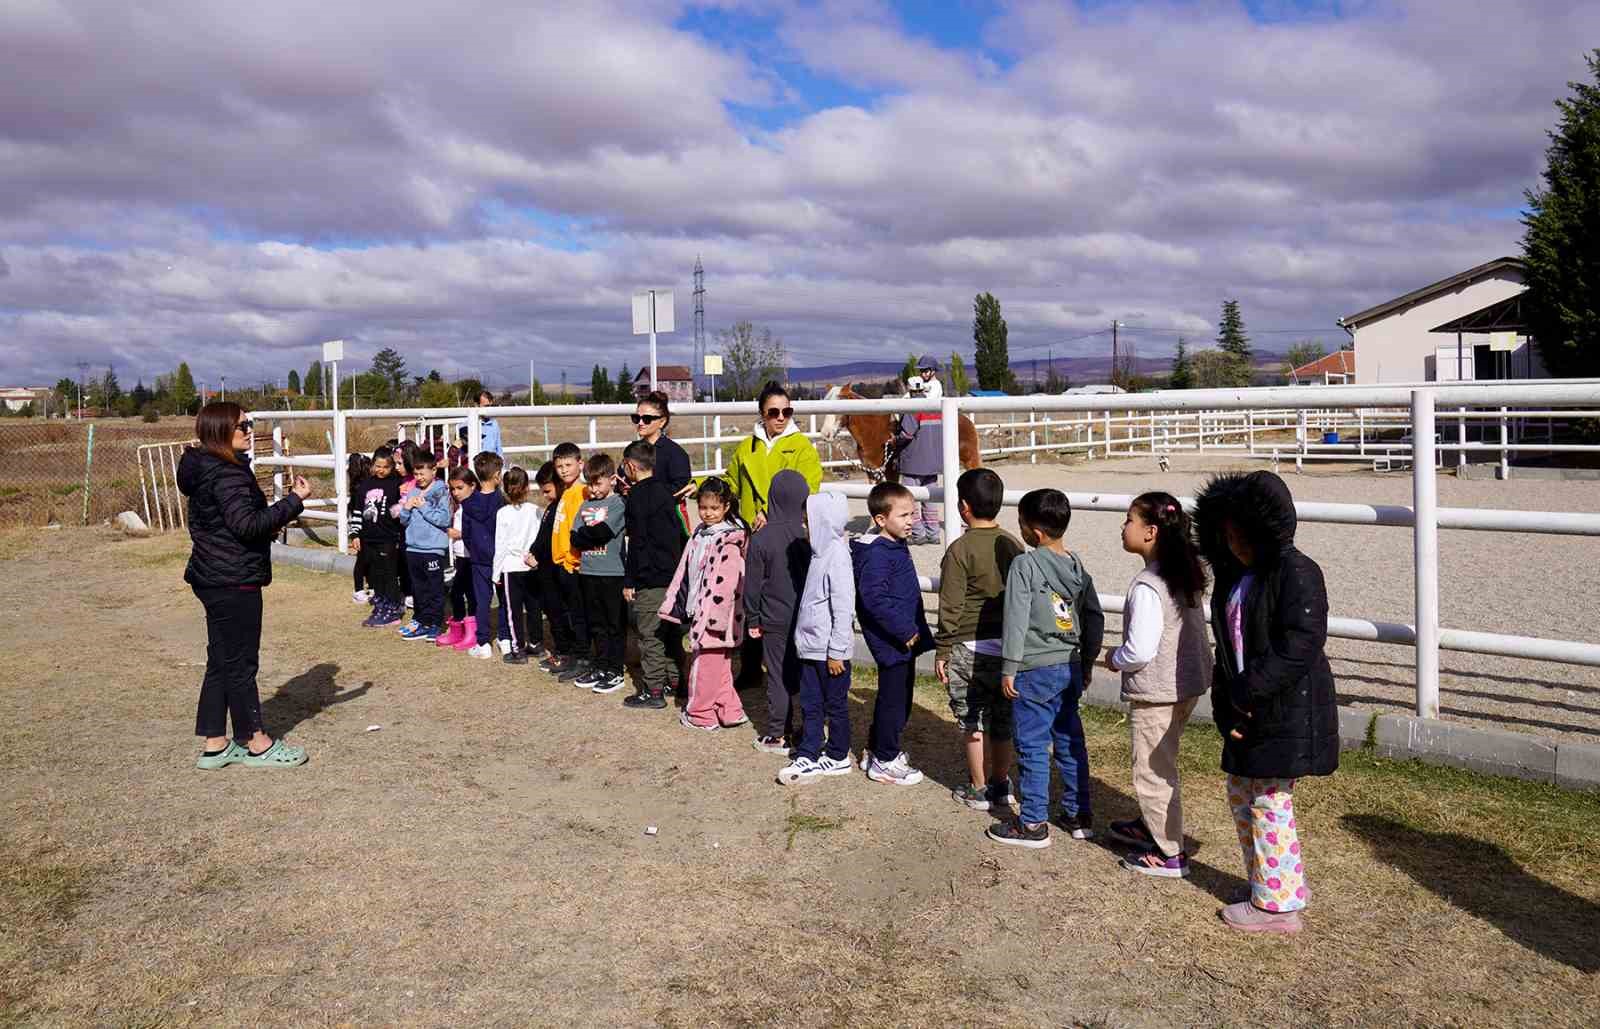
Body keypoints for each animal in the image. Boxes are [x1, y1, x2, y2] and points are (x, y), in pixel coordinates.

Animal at [819, 384, 979, 486]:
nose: (825, 433)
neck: (875, 431)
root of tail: (966, 420)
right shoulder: (872, 472)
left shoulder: (891, 471)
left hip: (969, 458)